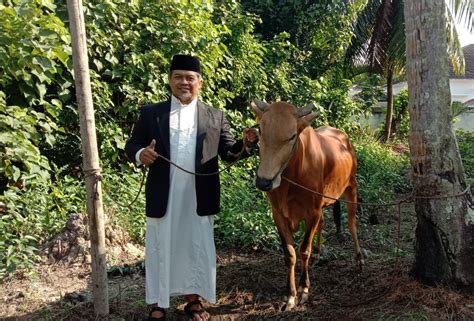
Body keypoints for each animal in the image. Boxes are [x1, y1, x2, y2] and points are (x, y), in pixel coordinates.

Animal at [252, 100, 362, 310]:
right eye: (260, 131)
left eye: (292, 136)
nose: (264, 182)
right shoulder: (278, 214)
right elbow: (290, 253)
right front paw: (290, 294)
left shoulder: (312, 213)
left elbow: (303, 250)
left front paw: (303, 289)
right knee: (324, 223)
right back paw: (318, 254)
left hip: (351, 188)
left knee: (352, 224)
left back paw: (359, 258)